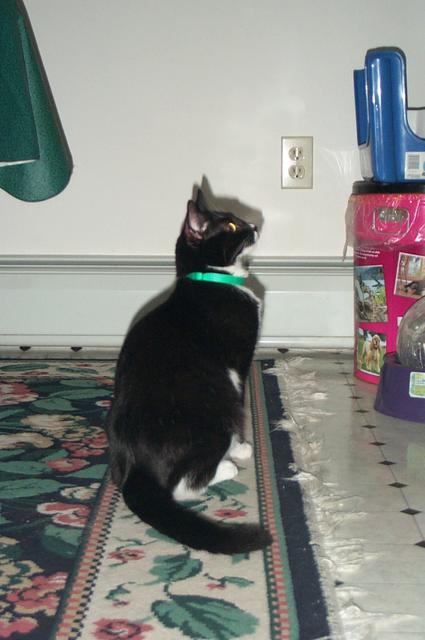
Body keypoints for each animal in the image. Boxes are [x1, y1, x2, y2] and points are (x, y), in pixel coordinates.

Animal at [106, 189, 271, 554]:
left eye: (238, 217)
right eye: (231, 225)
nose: (254, 225)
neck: (211, 279)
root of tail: (135, 465)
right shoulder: (236, 366)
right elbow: (241, 405)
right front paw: (240, 447)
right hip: (215, 410)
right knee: (182, 487)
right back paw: (226, 467)